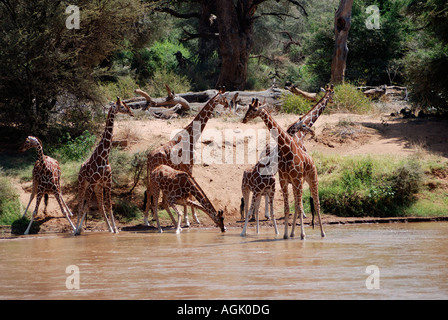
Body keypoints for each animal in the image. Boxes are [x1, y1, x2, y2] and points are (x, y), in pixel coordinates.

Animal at [74, 96, 134, 234]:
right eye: (121, 106)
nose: (131, 112)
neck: (104, 157)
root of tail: (80, 169)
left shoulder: (107, 181)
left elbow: (109, 205)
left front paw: (115, 229)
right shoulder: (92, 182)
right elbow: (86, 206)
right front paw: (78, 229)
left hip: (98, 186)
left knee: (100, 206)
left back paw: (109, 228)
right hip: (83, 183)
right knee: (80, 205)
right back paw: (76, 229)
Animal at [144, 87, 228, 228]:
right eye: (224, 98)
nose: (228, 105)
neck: (191, 136)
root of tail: (148, 158)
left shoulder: (186, 168)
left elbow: (189, 194)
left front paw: (189, 219)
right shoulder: (188, 166)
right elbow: (190, 194)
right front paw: (191, 219)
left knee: (149, 190)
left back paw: (150, 219)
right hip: (153, 173)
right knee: (150, 191)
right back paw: (146, 220)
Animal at [242, 99, 326, 239]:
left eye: (255, 109)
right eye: (249, 108)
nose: (244, 119)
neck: (287, 150)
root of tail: (312, 160)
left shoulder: (297, 180)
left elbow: (299, 207)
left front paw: (302, 235)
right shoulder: (284, 180)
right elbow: (288, 208)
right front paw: (286, 235)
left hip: (313, 179)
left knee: (316, 203)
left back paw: (322, 233)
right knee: (297, 205)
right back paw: (291, 233)